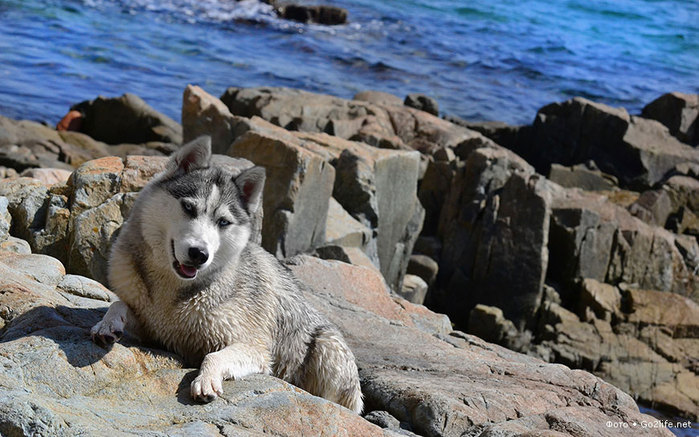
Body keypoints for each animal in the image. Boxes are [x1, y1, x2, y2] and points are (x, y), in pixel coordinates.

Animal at [91, 136, 364, 412]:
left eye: (223, 222)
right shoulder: (153, 328)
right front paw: (107, 324)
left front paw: (206, 380)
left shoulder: (254, 347)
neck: (174, 289)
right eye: (188, 207)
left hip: (327, 347)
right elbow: (118, 304)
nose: (199, 254)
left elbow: (214, 355)